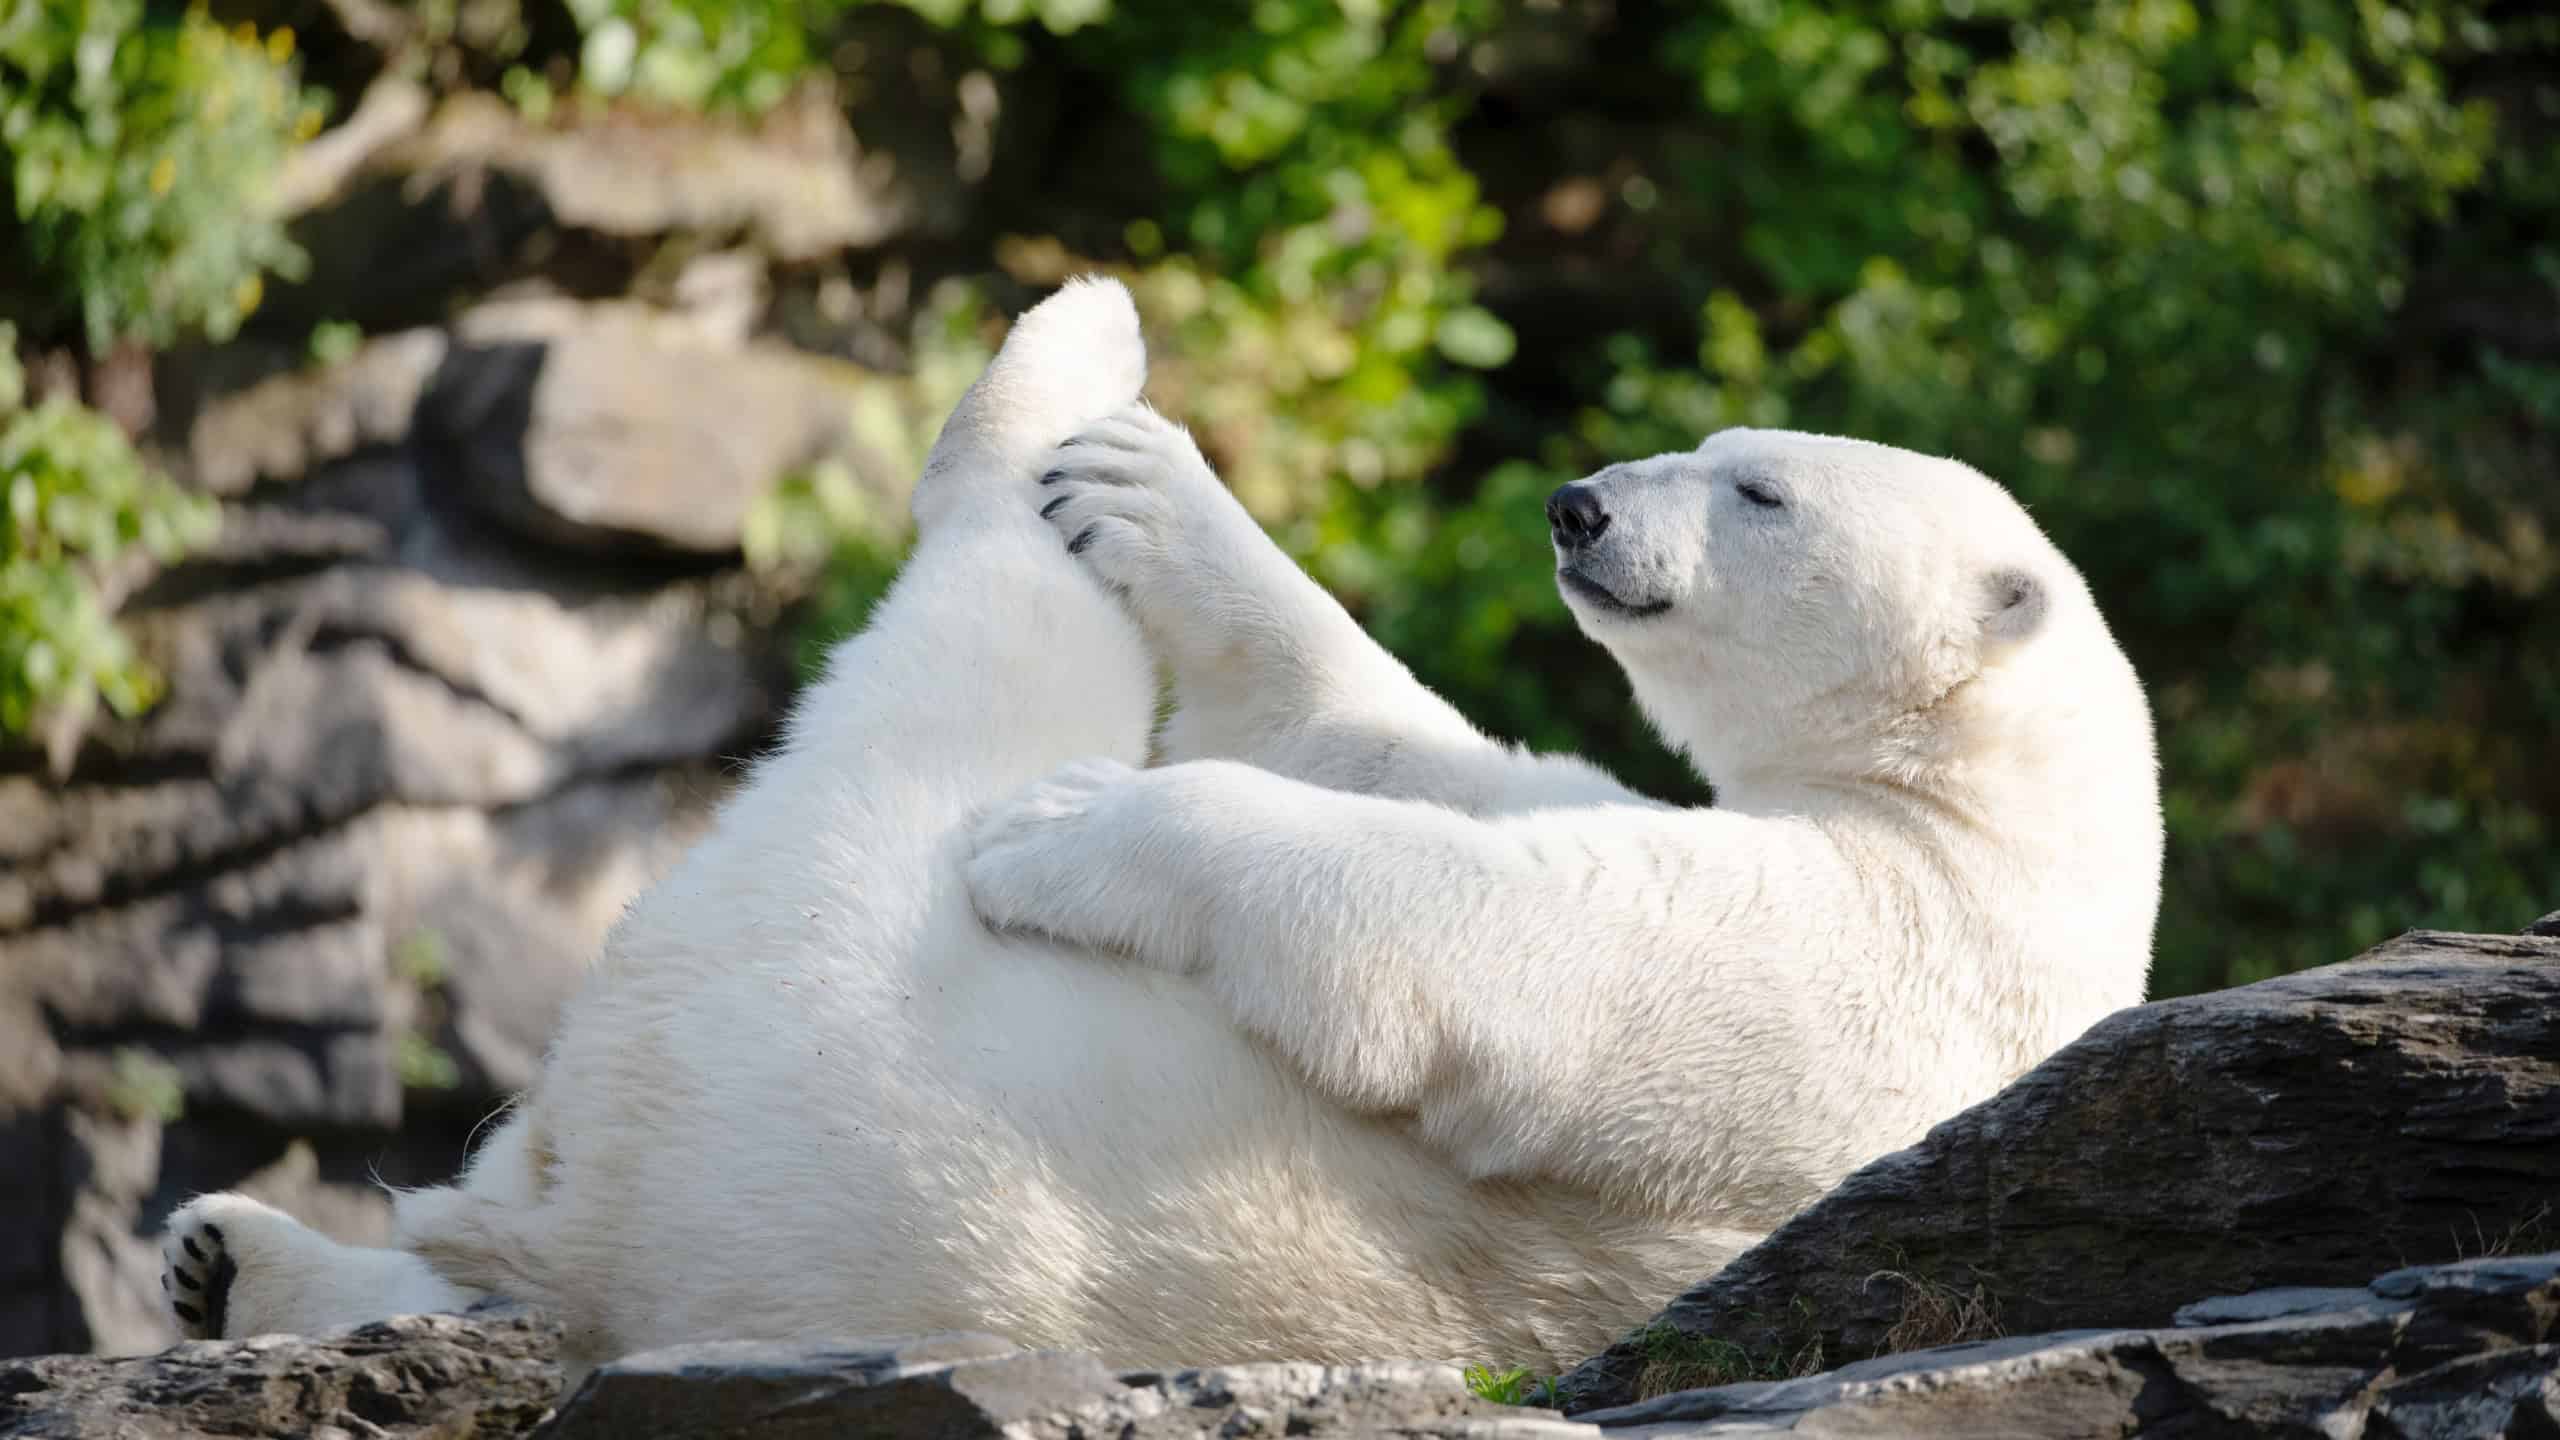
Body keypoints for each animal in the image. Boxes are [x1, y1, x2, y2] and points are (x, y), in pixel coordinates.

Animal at [160, 276, 2162, 1383]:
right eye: (1720, 450)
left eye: (1756, 489)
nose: (1583, 506)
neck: (1982, 835)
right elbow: (1413, 744)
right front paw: (1156, 499)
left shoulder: (1857, 971)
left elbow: (1518, 938)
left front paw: (1071, 831)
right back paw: (229, 1257)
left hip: (814, 965)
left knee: (969, 651)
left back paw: (1061, 363)